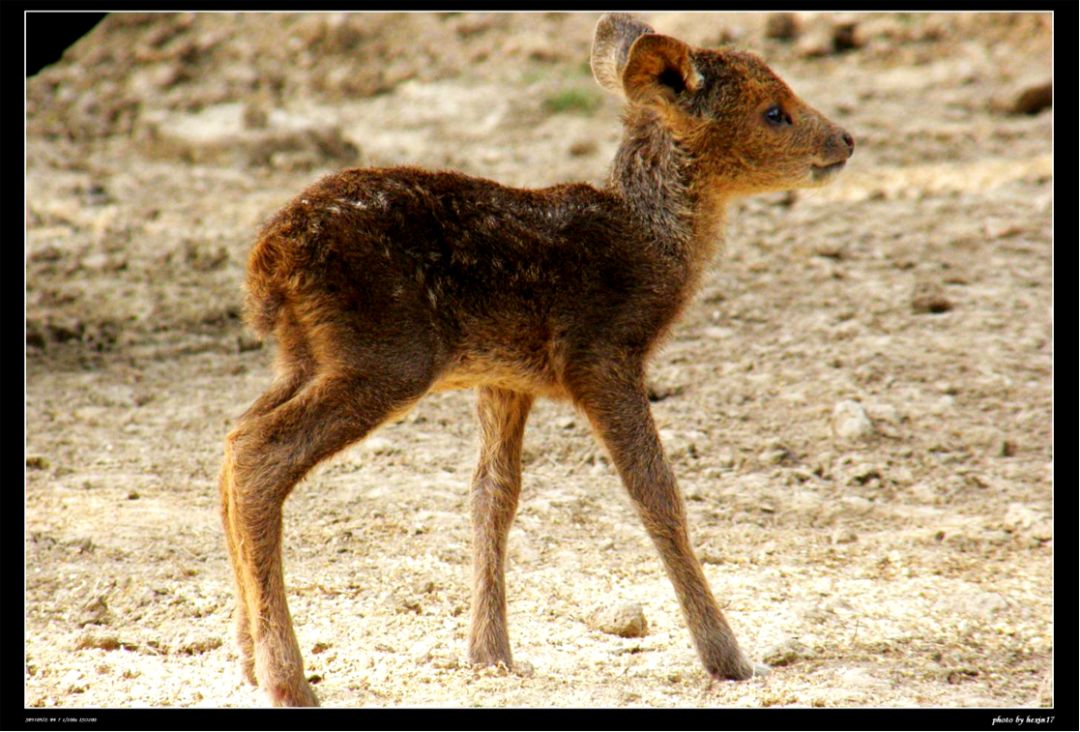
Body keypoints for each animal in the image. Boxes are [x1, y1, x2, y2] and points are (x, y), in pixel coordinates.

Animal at [223, 11, 855, 708]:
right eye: (775, 111)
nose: (847, 140)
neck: (654, 245)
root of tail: (267, 263)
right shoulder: (600, 351)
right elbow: (656, 492)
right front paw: (729, 658)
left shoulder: (504, 376)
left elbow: (493, 493)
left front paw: (491, 654)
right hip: (387, 353)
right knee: (258, 452)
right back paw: (287, 679)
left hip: (308, 355)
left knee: (233, 437)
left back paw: (249, 660)